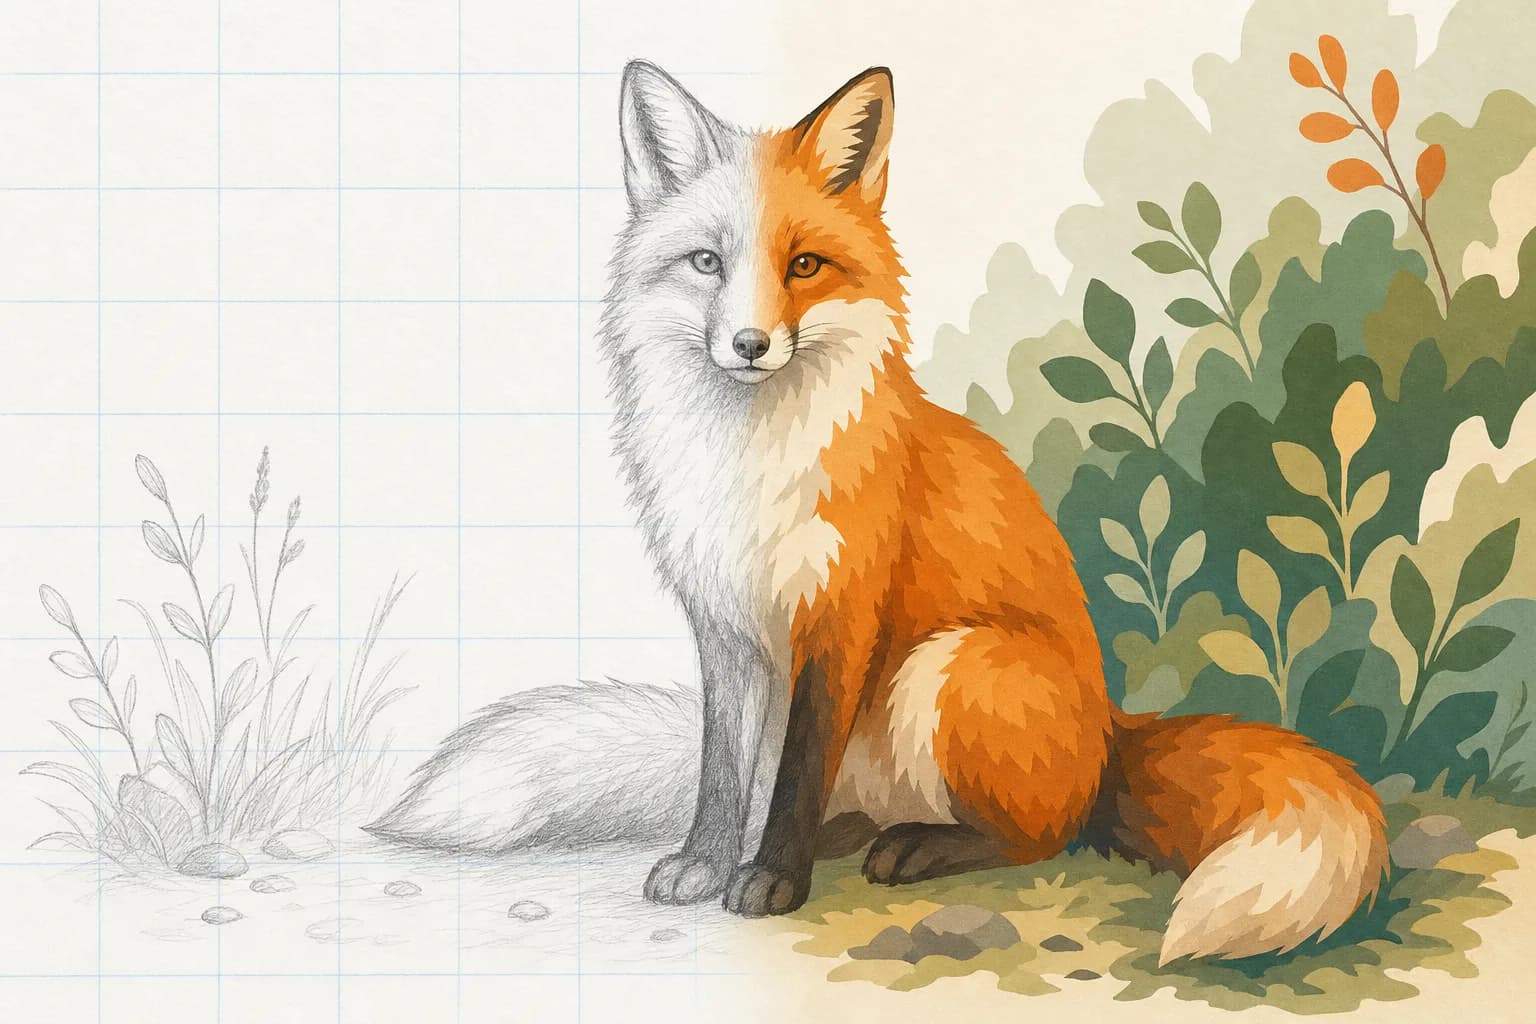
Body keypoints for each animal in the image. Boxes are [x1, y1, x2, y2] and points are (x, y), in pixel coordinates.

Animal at [366, 60, 1389, 964]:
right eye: (707, 263)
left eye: (805, 264)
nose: (750, 343)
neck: (748, 466)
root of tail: (1111, 731)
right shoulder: (724, 628)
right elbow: (726, 773)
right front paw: (708, 861)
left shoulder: (839, 612)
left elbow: (793, 774)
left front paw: (770, 881)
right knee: (865, 804)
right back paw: (854, 835)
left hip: (954, 665)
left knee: (1044, 835)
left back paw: (918, 850)